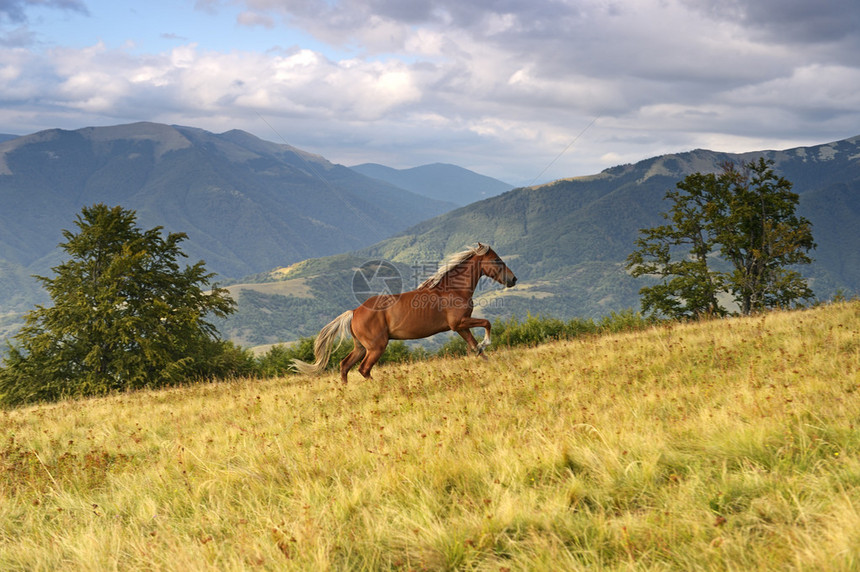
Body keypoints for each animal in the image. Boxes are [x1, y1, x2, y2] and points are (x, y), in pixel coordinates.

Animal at [292, 244, 512, 382]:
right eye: (496, 260)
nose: (513, 279)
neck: (453, 289)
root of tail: (354, 312)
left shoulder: (460, 326)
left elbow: (475, 347)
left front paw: (488, 360)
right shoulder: (459, 323)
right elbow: (487, 323)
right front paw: (487, 343)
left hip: (361, 347)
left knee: (344, 365)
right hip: (376, 347)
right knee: (363, 369)